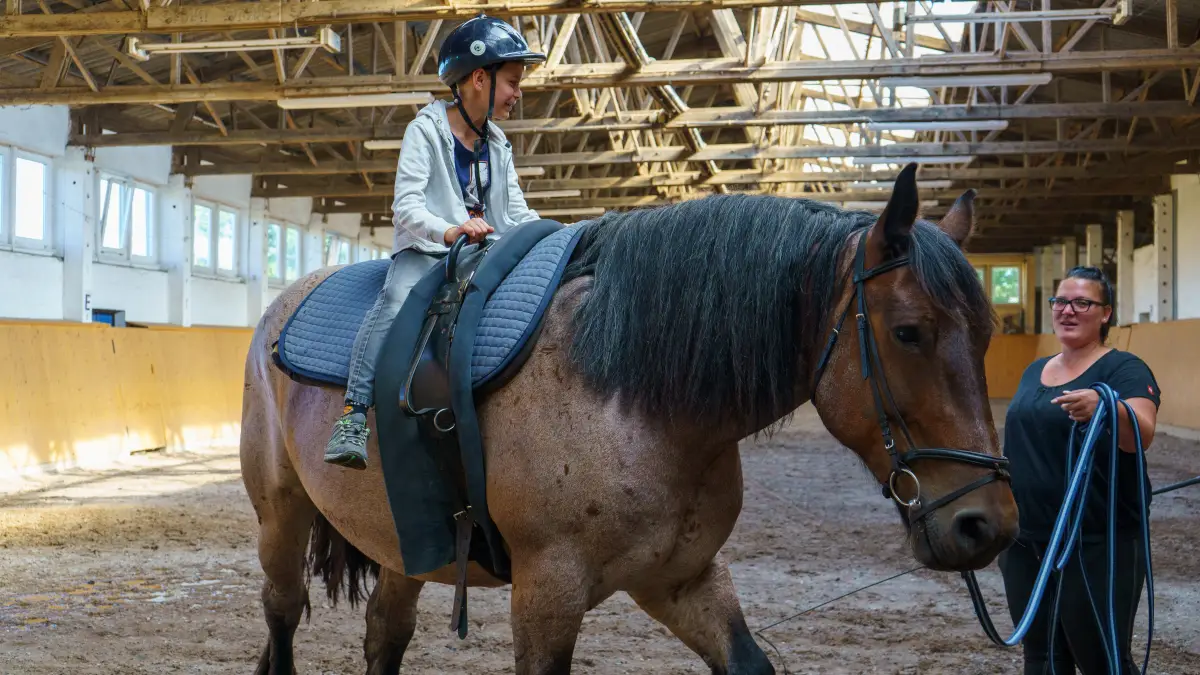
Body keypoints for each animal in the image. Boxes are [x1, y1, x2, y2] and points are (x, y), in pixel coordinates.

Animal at [238, 165, 1019, 675]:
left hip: (409, 542)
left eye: (986, 333)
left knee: (385, 633)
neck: (631, 398)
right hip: (282, 515)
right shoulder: (547, 595)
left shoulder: (683, 579)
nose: (987, 524)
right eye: (909, 332)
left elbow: (748, 660)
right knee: (281, 615)